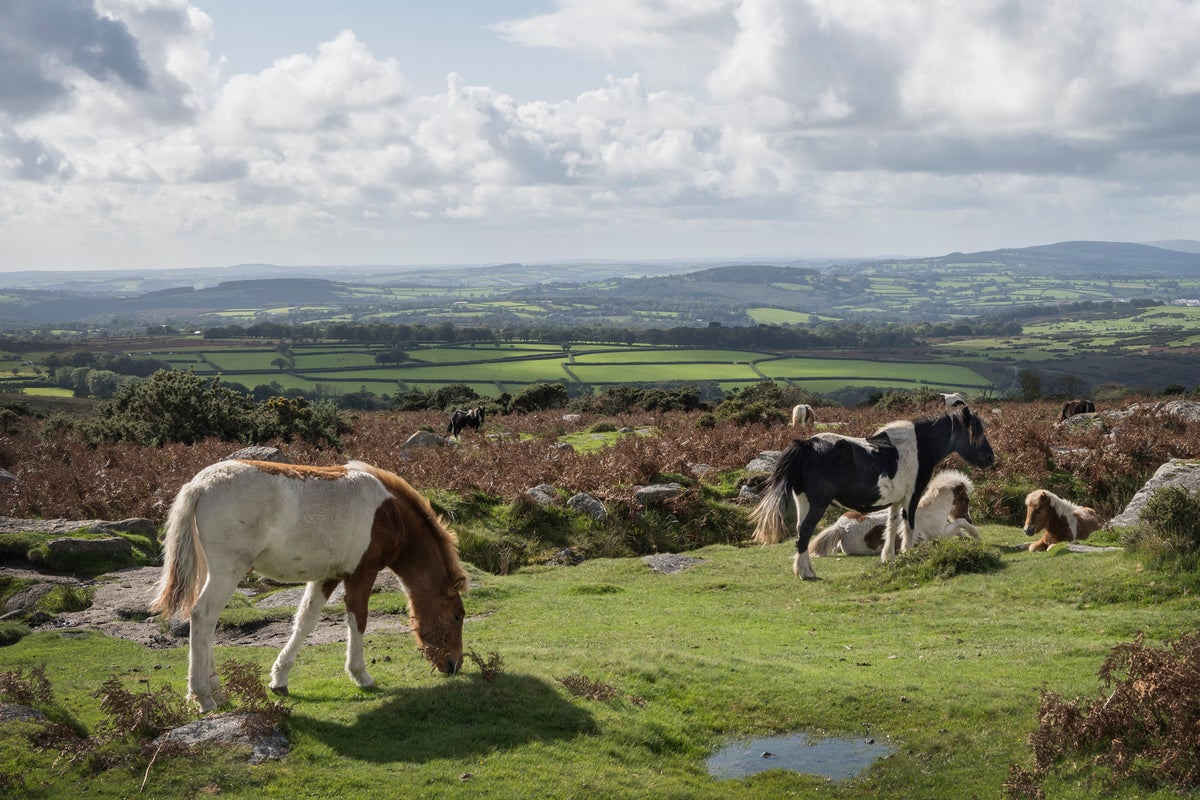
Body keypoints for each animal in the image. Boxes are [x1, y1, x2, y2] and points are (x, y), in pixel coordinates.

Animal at [151, 459, 469, 712]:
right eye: (457, 616)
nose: (454, 665)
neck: (389, 513)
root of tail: (200, 485)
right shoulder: (361, 573)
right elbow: (358, 620)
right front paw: (361, 675)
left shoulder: (328, 576)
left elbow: (305, 621)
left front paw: (279, 679)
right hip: (227, 572)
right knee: (202, 617)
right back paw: (204, 697)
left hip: (212, 572)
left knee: (208, 626)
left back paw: (219, 693)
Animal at [808, 469, 979, 557]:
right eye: (966, 499)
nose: (970, 519)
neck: (931, 511)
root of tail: (841, 528)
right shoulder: (940, 534)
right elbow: (959, 523)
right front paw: (975, 534)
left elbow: (958, 528)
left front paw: (966, 537)